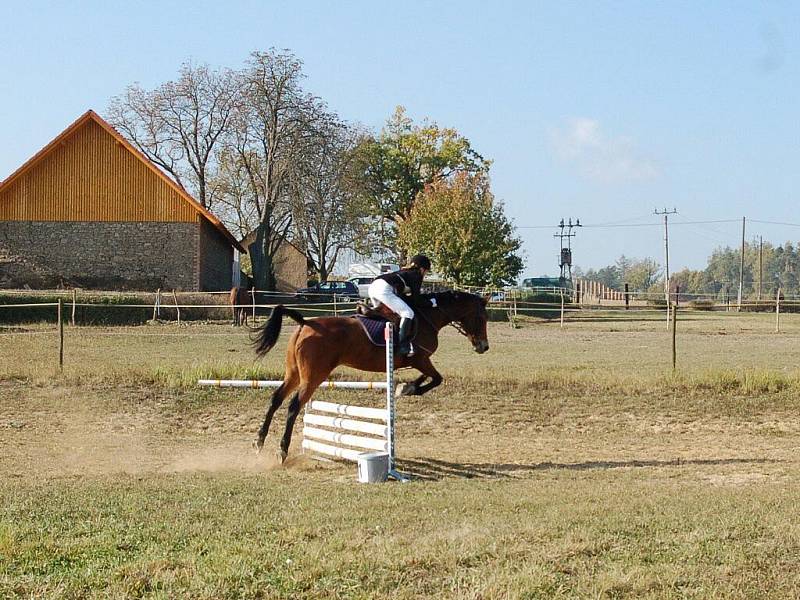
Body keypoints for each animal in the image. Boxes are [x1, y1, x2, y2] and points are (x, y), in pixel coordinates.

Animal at [252, 290, 488, 460]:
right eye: (481, 317)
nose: (483, 347)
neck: (428, 318)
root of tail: (306, 323)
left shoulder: (418, 363)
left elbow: (428, 378)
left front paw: (406, 387)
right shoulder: (420, 359)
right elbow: (436, 378)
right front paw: (409, 389)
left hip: (294, 374)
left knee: (275, 400)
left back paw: (259, 441)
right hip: (313, 377)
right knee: (293, 406)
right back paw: (282, 450)